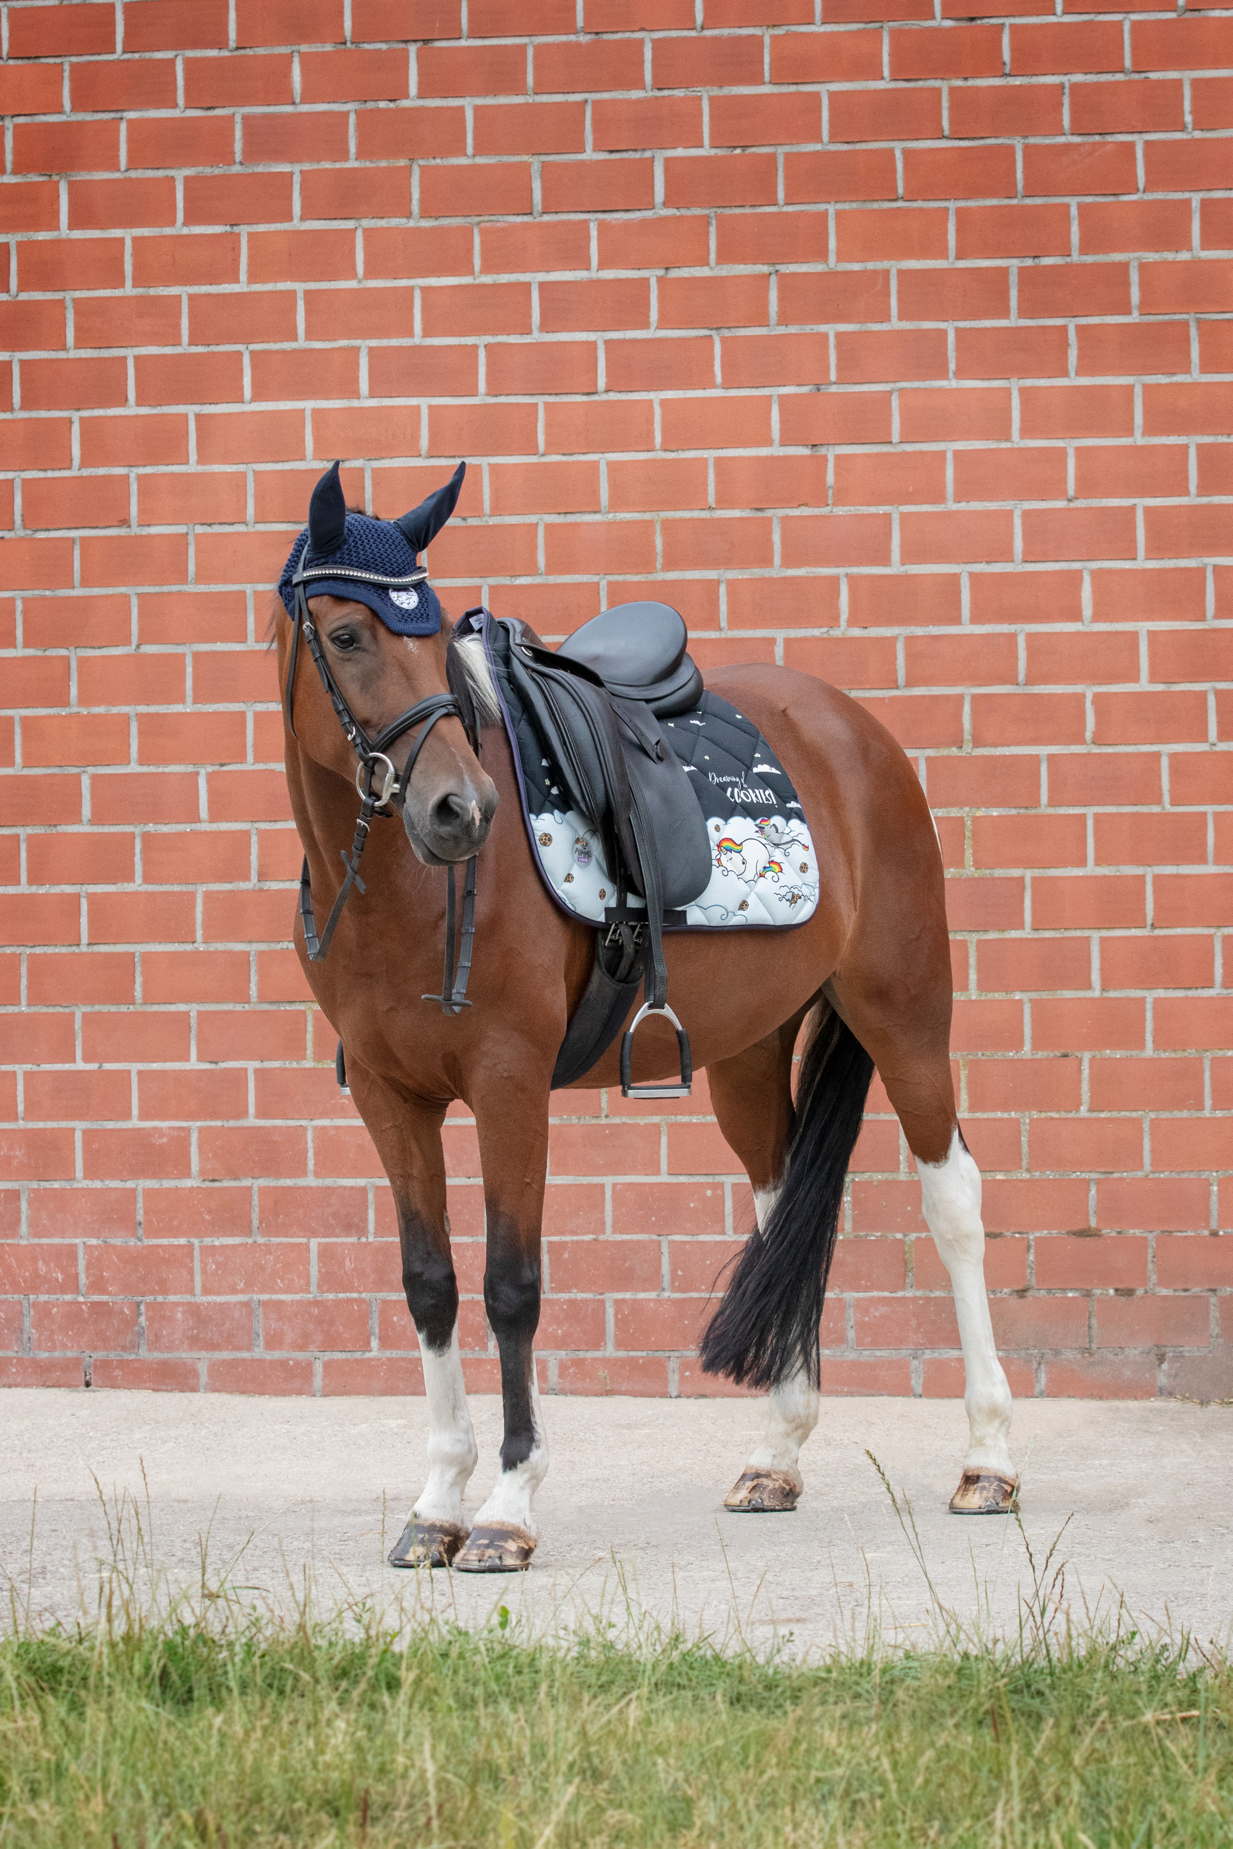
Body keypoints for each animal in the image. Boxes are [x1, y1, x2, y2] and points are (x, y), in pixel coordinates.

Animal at [275, 462, 1020, 1575]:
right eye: (349, 632)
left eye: (435, 629)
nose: (460, 810)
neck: (406, 891)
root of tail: (850, 728)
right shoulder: (386, 1092)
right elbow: (430, 1283)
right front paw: (438, 1504)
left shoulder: (507, 1081)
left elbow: (509, 1284)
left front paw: (506, 1509)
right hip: (749, 1049)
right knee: (778, 1206)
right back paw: (775, 1458)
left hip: (906, 1013)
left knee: (953, 1200)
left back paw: (987, 1462)